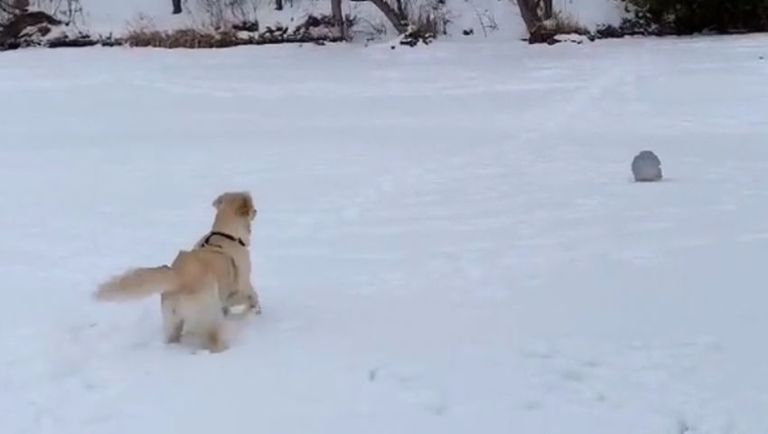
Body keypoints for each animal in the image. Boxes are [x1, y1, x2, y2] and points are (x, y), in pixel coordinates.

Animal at [92, 192, 260, 352]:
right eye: (251, 206)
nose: (256, 210)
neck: (227, 235)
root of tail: (179, 278)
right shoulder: (240, 285)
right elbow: (251, 295)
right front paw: (255, 309)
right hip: (209, 315)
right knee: (214, 340)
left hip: (172, 320)